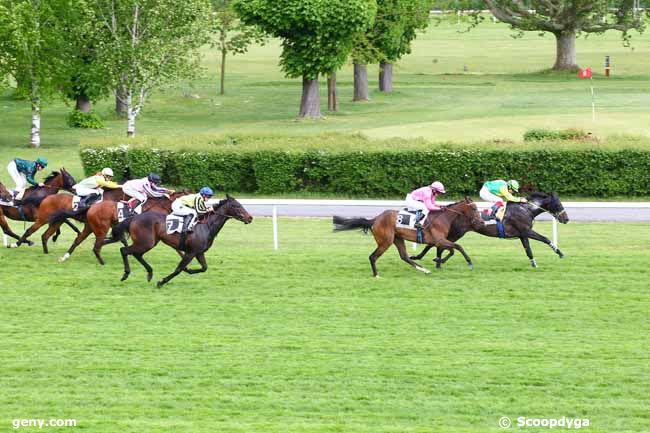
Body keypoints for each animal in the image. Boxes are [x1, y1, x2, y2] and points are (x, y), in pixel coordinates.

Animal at [110, 194, 252, 286]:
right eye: (237, 206)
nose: (250, 218)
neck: (206, 226)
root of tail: (134, 218)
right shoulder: (191, 252)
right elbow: (179, 269)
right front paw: (162, 282)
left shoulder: (199, 252)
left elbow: (204, 268)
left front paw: (189, 270)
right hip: (146, 243)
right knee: (124, 250)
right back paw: (126, 274)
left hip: (149, 242)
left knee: (136, 254)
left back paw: (149, 273)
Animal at [334, 197, 480, 276]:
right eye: (474, 208)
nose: (480, 221)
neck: (443, 217)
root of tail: (375, 219)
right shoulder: (440, 240)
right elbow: (457, 248)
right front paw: (469, 263)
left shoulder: (438, 241)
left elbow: (452, 249)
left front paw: (438, 260)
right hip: (385, 241)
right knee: (373, 257)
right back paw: (376, 275)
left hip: (398, 239)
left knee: (404, 256)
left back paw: (424, 270)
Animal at [410, 192, 568, 266]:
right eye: (558, 205)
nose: (566, 219)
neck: (526, 209)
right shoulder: (526, 231)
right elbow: (545, 239)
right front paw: (560, 253)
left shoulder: (522, 234)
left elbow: (528, 250)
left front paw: (534, 263)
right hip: (457, 232)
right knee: (439, 244)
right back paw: (432, 259)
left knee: (437, 243)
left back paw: (423, 257)